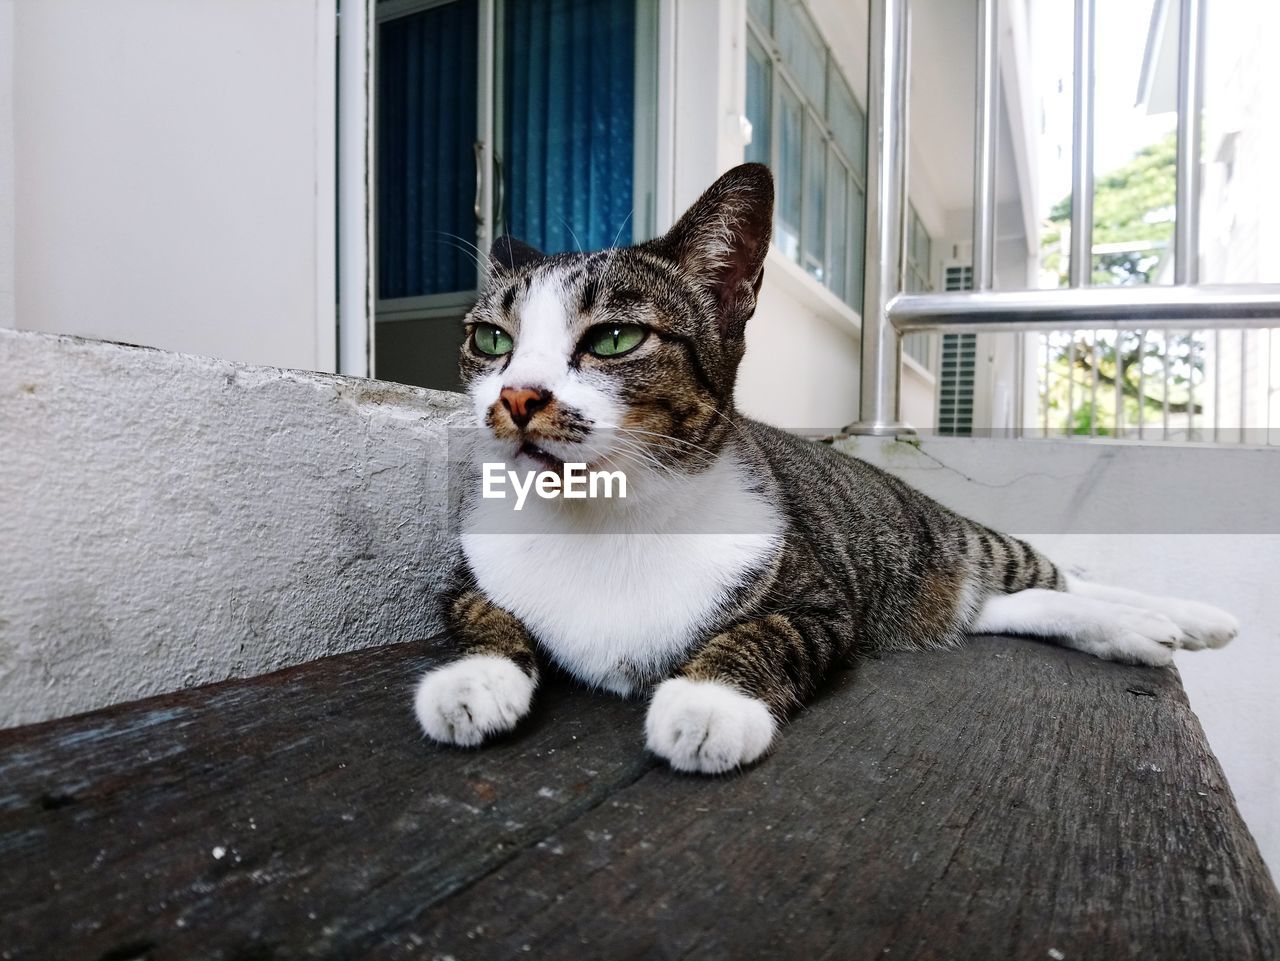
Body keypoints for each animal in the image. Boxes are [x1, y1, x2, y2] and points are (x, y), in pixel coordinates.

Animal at [414, 159, 1233, 772]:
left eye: (614, 338)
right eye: (490, 341)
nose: (517, 395)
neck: (604, 521)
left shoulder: (822, 600)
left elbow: (765, 635)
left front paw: (709, 702)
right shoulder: (469, 572)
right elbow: (479, 610)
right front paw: (473, 677)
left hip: (947, 543)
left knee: (1050, 573)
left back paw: (1181, 617)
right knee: (1012, 605)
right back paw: (1140, 630)